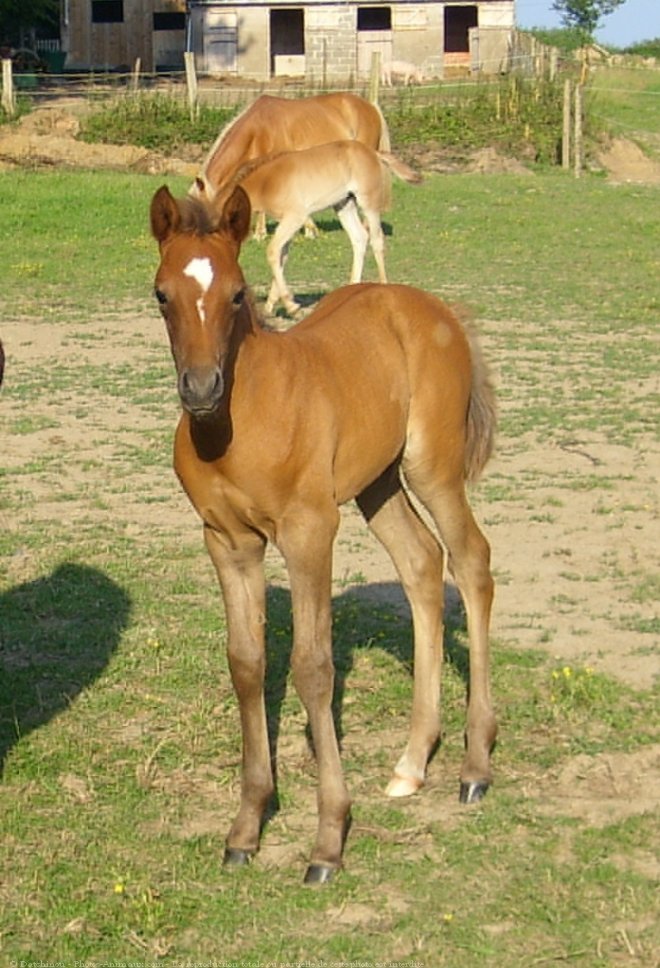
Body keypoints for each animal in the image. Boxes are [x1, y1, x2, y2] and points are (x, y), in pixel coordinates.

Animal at [150, 183, 498, 884]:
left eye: (237, 293)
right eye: (162, 294)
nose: (200, 388)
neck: (242, 419)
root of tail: (434, 307)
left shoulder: (310, 531)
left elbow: (313, 668)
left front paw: (328, 839)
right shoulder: (227, 542)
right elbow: (247, 663)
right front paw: (247, 826)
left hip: (432, 467)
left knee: (472, 561)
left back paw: (475, 764)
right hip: (378, 482)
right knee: (423, 565)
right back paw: (412, 762)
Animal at [197, 140, 422, 316]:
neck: (268, 180)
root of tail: (374, 152)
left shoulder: (295, 218)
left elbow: (273, 252)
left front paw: (291, 306)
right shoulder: (288, 223)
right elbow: (281, 256)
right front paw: (272, 306)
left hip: (368, 205)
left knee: (376, 240)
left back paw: (383, 287)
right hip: (344, 204)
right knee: (359, 238)